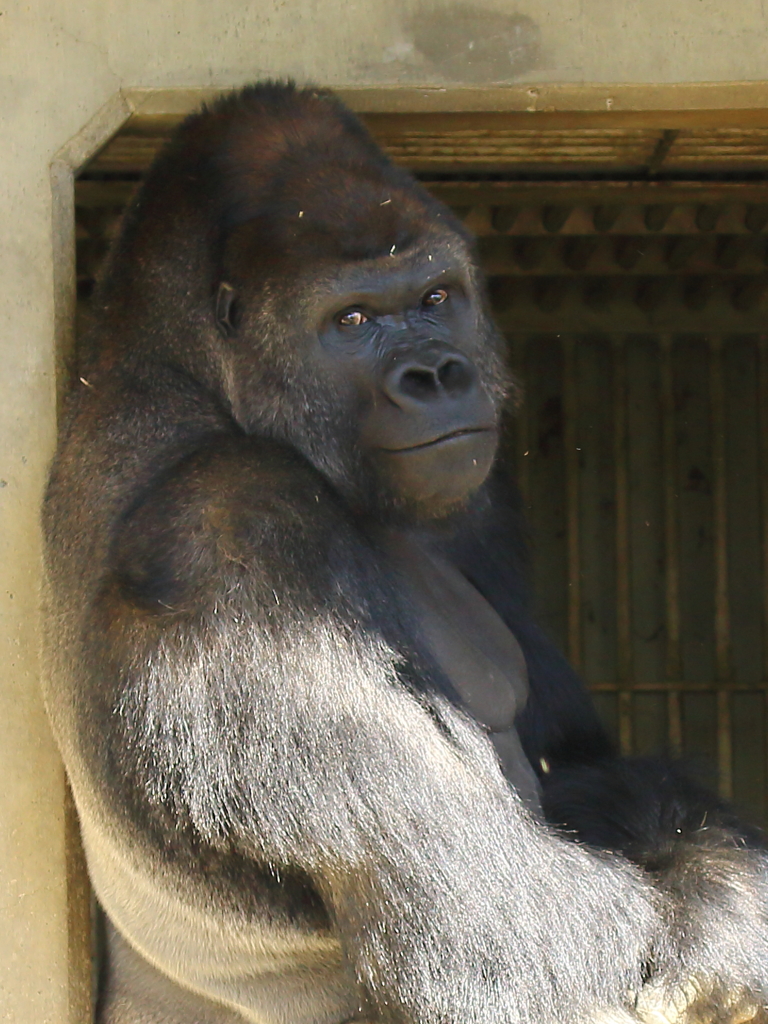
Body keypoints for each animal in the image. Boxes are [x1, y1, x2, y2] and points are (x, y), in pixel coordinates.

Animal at [45, 83, 768, 1024]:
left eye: (434, 297)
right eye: (351, 320)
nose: (437, 374)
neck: (179, 373)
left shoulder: (470, 494)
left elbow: (584, 764)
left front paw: (725, 889)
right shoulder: (227, 532)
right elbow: (506, 943)